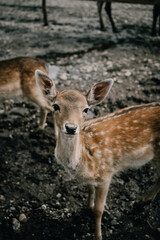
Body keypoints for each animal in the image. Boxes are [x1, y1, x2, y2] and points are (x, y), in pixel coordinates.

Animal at [35, 68, 160, 239]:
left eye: (86, 109)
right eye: (56, 106)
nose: (71, 128)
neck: (84, 161)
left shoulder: (106, 173)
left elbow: (99, 210)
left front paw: (98, 235)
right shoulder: (93, 177)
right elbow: (89, 189)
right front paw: (87, 207)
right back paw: (141, 202)